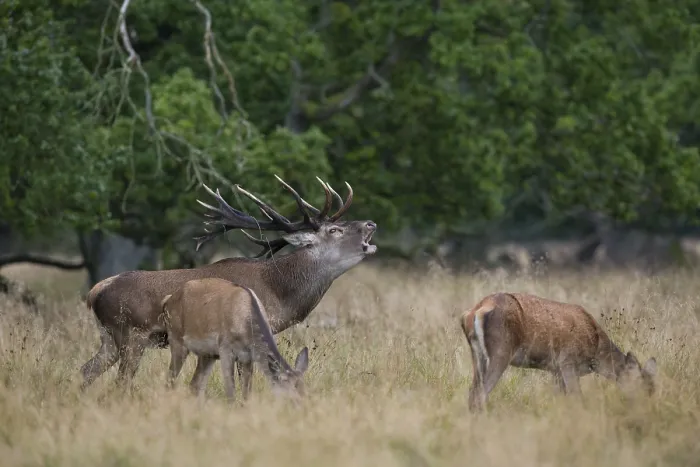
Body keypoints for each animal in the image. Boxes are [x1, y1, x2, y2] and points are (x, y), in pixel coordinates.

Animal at [161, 278, 309, 401]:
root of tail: (167, 300)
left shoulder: (247, 357)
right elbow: (231, 393)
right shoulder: (225, 349)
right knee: (170, 381)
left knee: (195, 386)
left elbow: (246, 394)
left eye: (305, 392)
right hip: (176, 339)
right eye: (292, 399)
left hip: (208, 355)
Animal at [460, 292, 657, 412]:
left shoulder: (554, 369)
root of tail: (475, 311)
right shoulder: (567, 361)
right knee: (481, 394)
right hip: (501, 351)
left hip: (476, 355)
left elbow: (560, 399)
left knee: (472, 392)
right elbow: (577, 397)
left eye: (653, 389)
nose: (648, 411)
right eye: (642, 387)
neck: (596, 349)